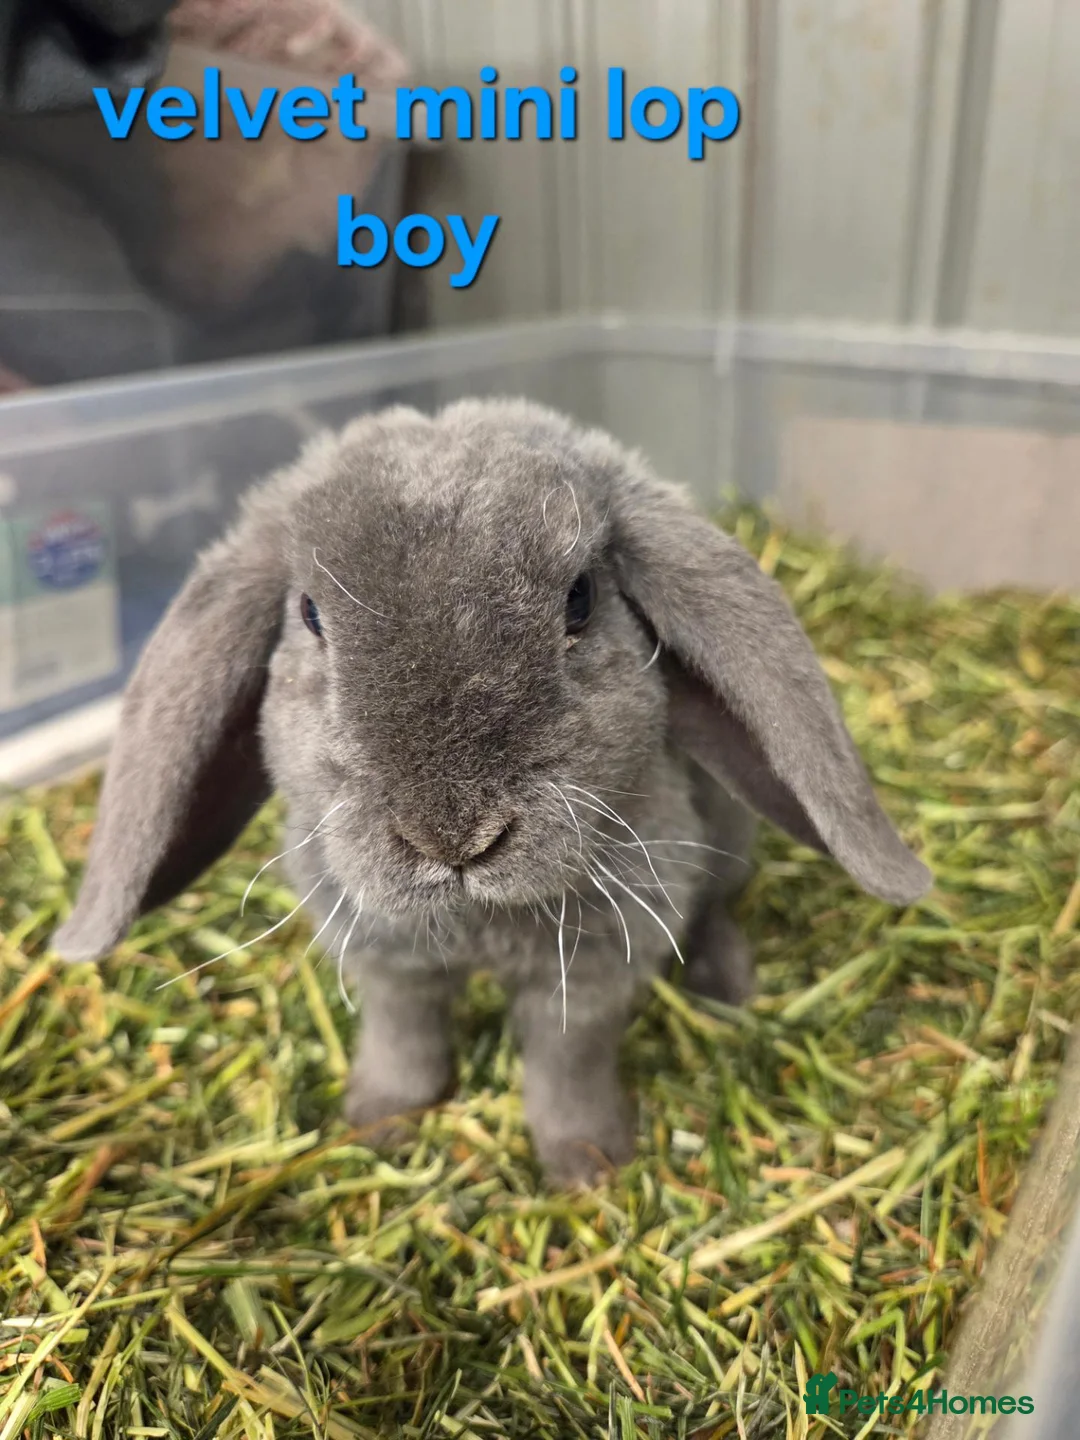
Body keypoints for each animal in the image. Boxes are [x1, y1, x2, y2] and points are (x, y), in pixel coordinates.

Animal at [52, 398, 931, 1186]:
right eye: (309, 615)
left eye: (581, 599)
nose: (455, 838)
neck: (475, 921)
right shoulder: (388, 966)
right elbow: (405, 1040)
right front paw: (380, 1121)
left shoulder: (591, 976)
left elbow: (566, 1068)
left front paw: (588, 1166)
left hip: (725, 844)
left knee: (714, 906)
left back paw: (725, 987)